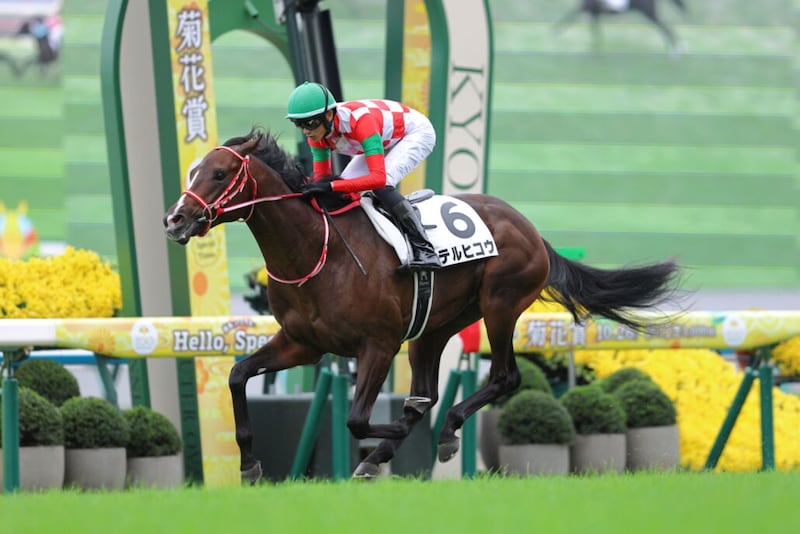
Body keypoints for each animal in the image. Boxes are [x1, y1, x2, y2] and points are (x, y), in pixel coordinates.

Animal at [163, 129, 681, 483]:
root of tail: (530, 229)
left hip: (500, 304)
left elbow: (357, 419)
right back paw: (392, 452)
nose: (175, 219)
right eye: (191, 171)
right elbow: (237, 375)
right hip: (435, 326)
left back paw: (443, 433)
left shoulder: (378, 344)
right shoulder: (302, 344)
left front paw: (388, 438)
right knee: (427, 393)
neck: (315, 250)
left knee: (504, 378)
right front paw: (249, 463)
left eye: (219, 173)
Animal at [553, 0, 687, 55]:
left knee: (665, 29)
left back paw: (676, 52)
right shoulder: (594, 12)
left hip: (649, 13)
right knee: (665, 29)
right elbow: (596, 32)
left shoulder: (587, 8)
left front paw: (553, 34)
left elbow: (569, 18)